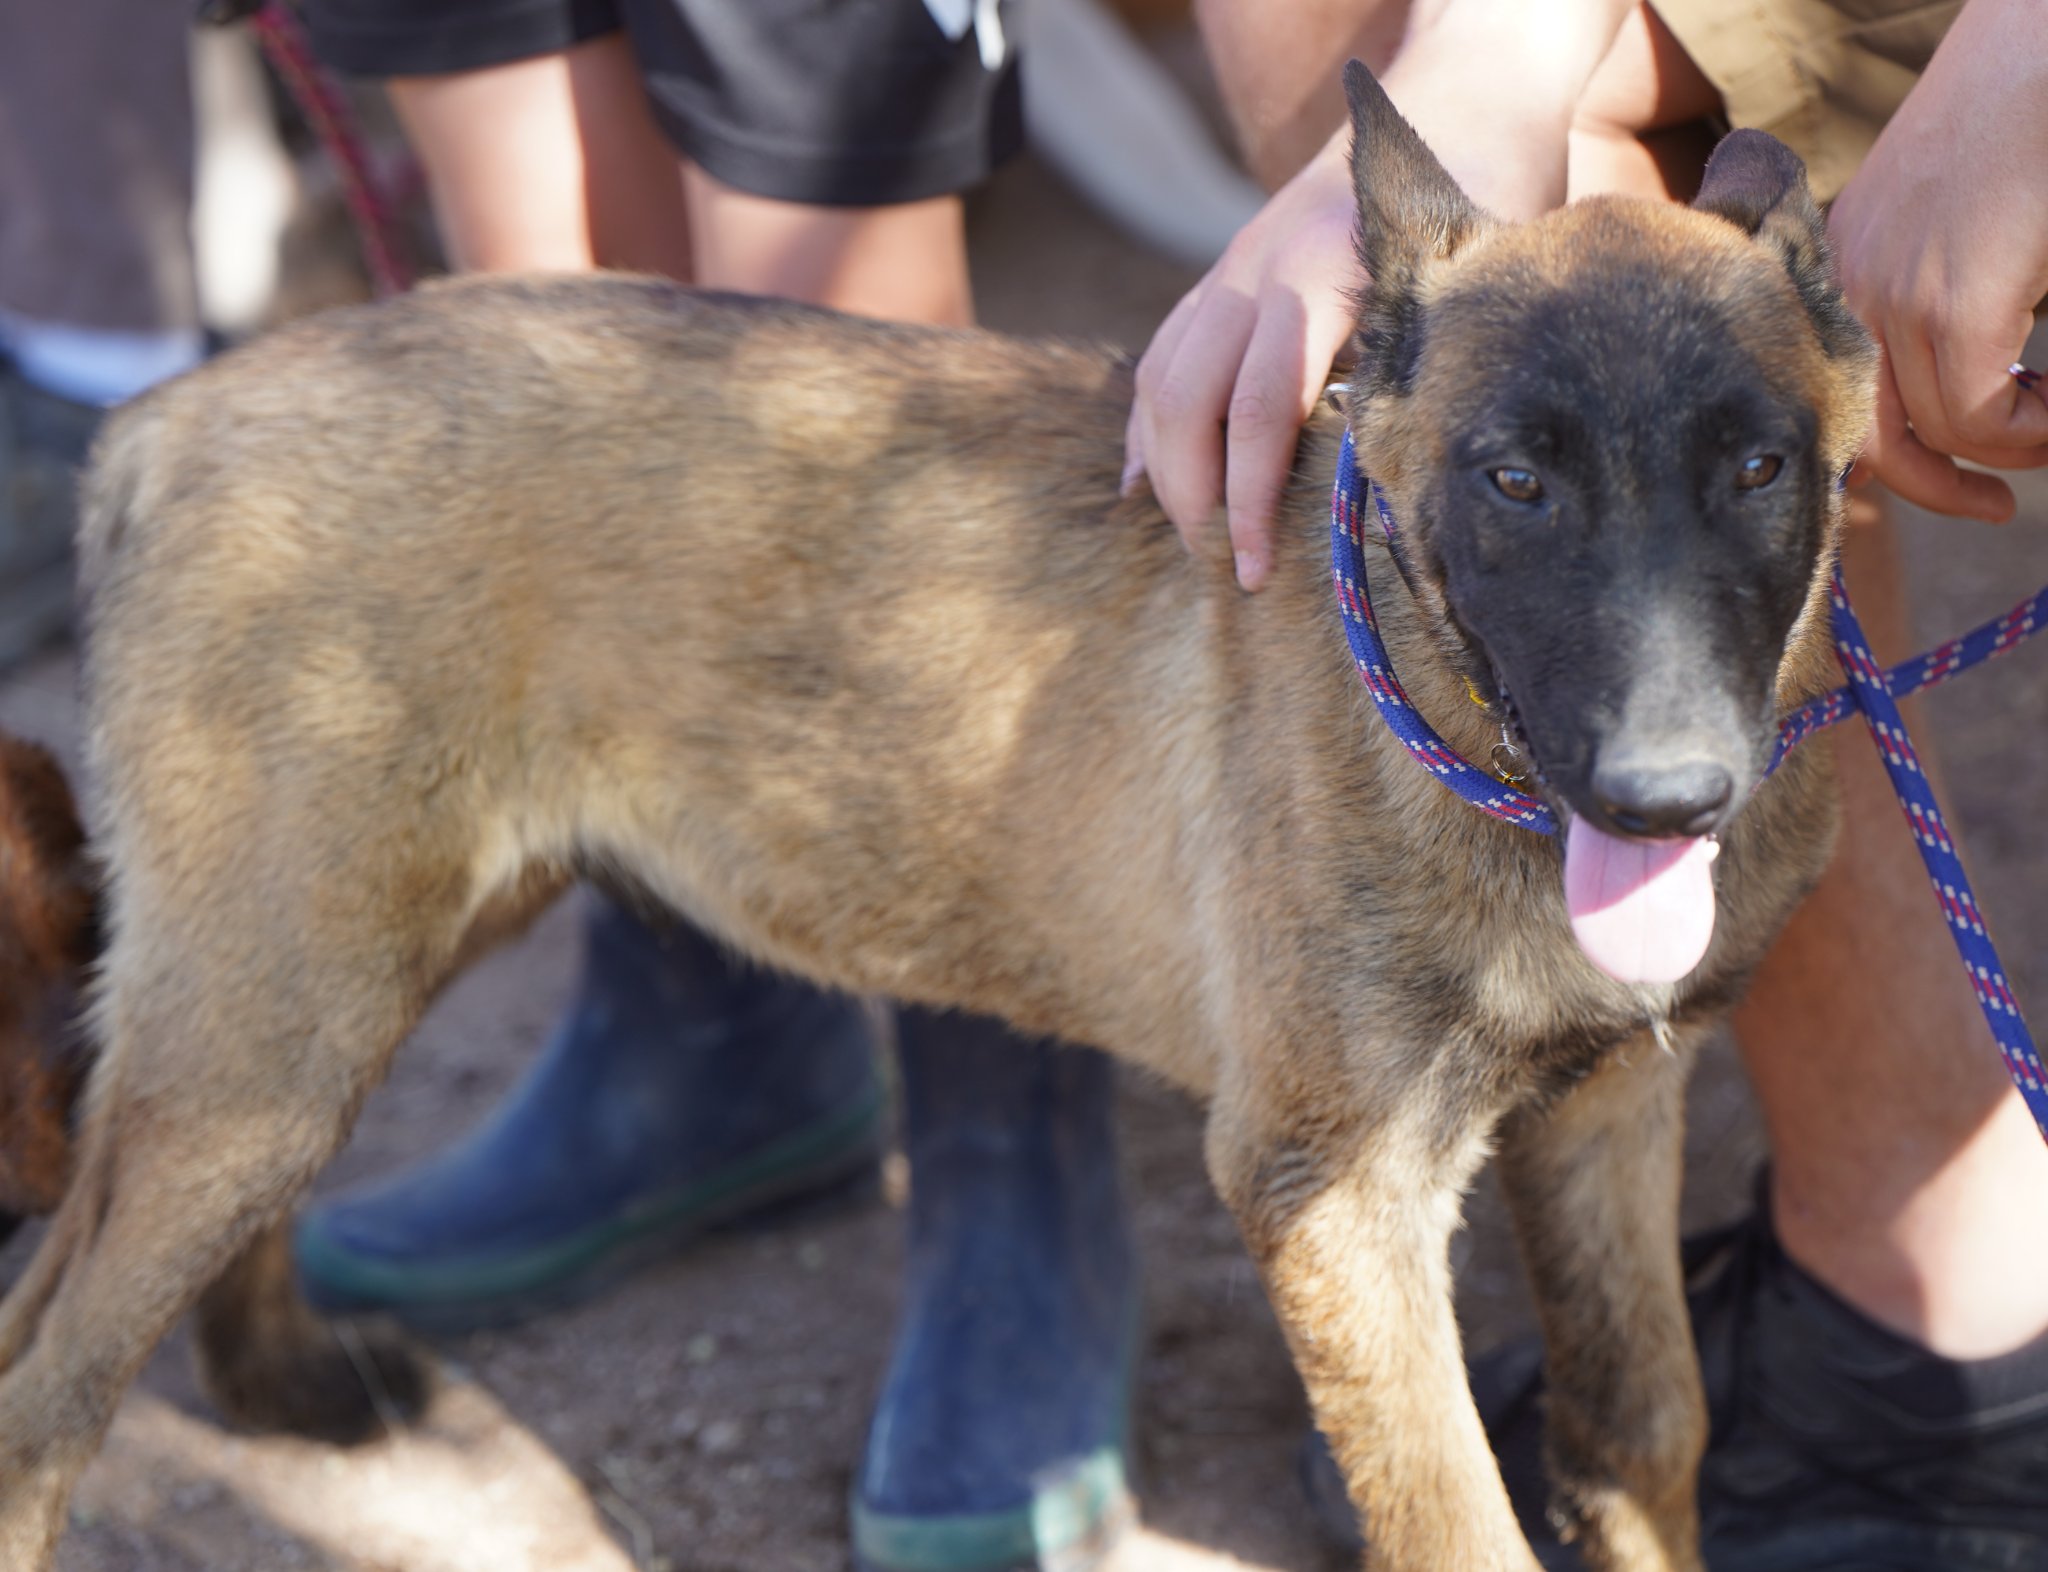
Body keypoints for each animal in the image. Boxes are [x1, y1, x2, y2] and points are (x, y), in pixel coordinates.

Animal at [0, 64, 1875, 1572]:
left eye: (1757, 467)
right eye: (1515, 479)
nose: (1670, 792)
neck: (1446, 727)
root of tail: (167, 419)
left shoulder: (1608, 1116)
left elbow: (1641, 1433)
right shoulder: (1332, 1195)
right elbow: (1461, 1529)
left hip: (341, 966)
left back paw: (278, 1389)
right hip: (276, 1008)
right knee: (43, 1378)